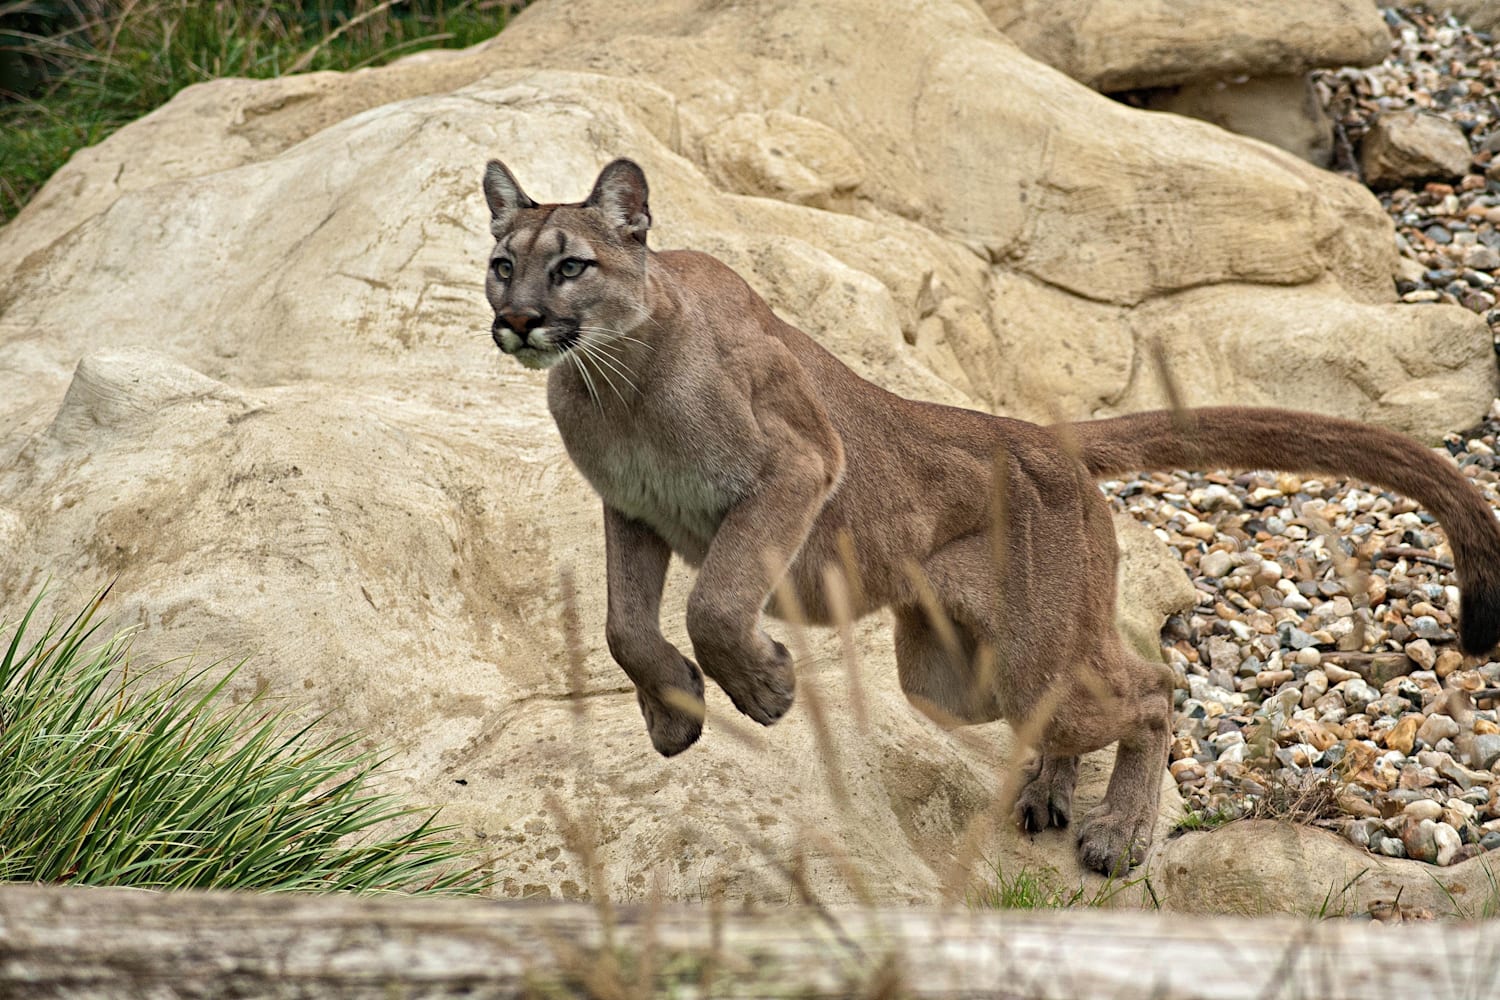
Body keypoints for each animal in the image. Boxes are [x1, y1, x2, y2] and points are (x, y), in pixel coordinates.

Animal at [480, 156, 1500, 875]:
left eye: (570, 267)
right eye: (500, 266)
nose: (518, 319)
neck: (616, 384)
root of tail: (1039, 435)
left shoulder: (796, 467)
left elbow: (714, 602)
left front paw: (761, 686)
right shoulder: (634, 512)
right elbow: (623, 626)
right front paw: (674, 715)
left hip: (1028, 656)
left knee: (1153, 687)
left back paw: (1118, 830)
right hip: (952, 679)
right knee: (1070, 704)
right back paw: (1049, 790)